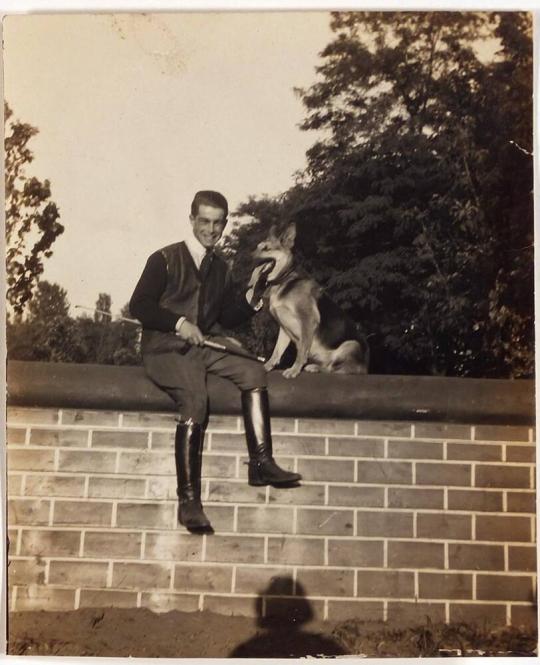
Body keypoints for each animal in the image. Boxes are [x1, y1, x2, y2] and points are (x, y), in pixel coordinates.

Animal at [250, 223, 370, 378]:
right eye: (257, 247)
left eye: (266, 249)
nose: (249, 257)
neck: (284, 279)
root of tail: (365, 368)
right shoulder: (284, 328)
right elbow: (277, 351)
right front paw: (268, 366)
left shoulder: (307, 320)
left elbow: (301, 352)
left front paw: (294, 370)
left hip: (351, 345)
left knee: (337, 371)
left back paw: (315, 368)